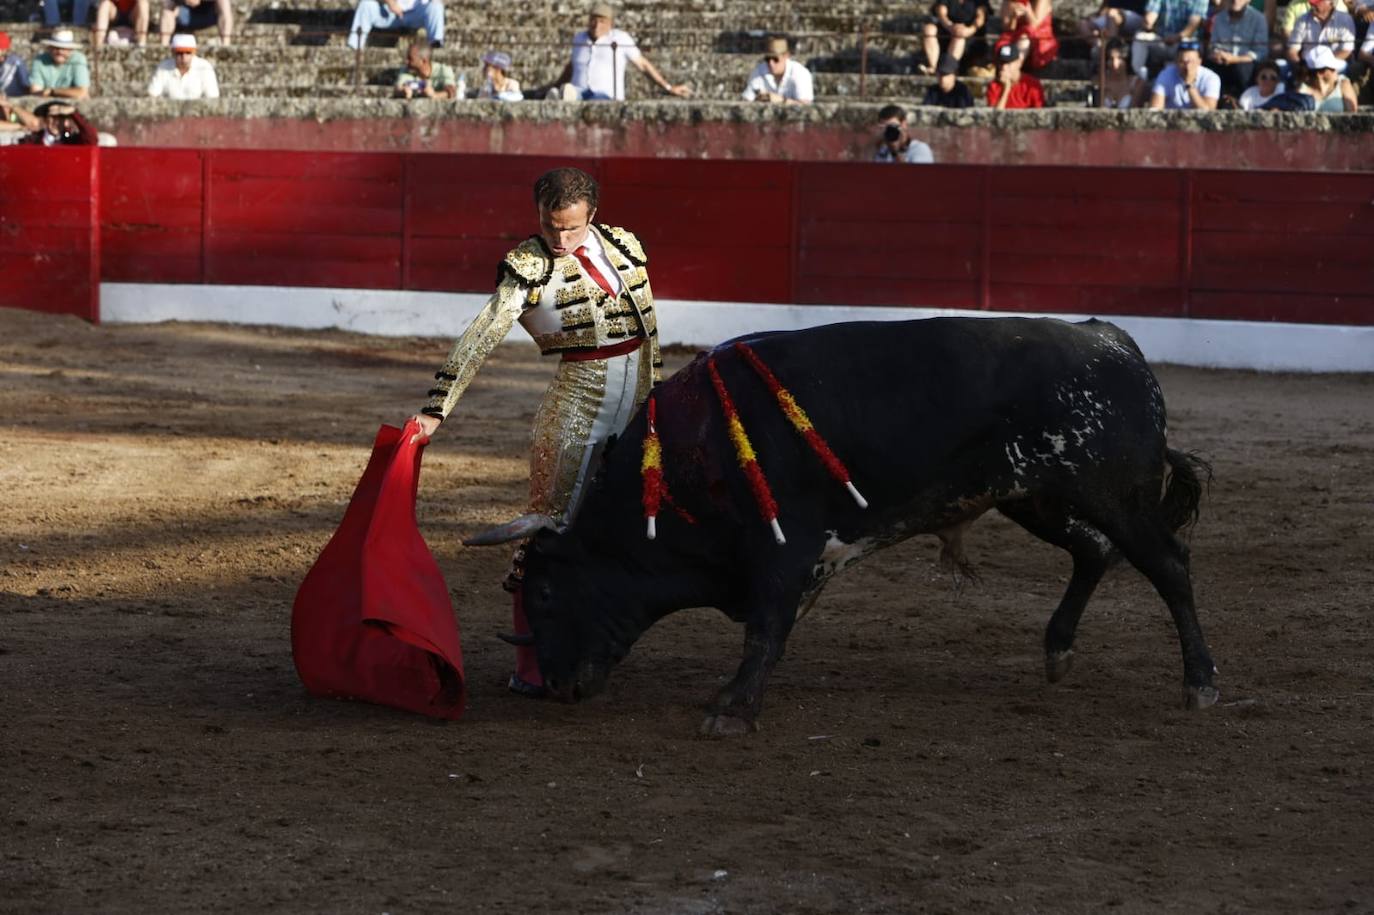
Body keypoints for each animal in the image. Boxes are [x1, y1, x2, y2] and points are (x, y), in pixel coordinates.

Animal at [469, 317, 1214, 730]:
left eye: (543, 592)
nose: (557, 687)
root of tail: (1111, 339)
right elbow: (769, 631)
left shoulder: (782, 552)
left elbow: (765, 634)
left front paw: (731, 710)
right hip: (1035, 495)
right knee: (1094, 552)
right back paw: (1057, 652)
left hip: (1115, 494)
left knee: (1169, 565)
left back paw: (1200, 683)